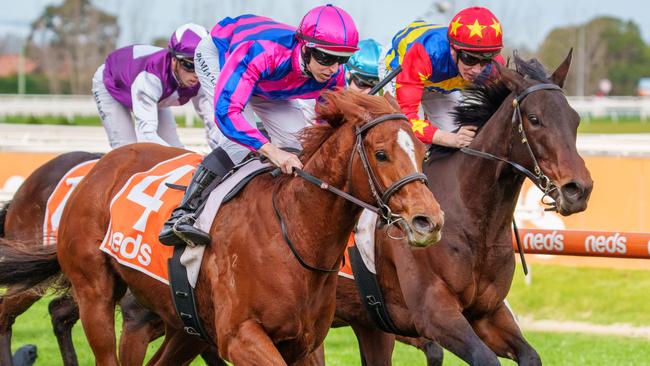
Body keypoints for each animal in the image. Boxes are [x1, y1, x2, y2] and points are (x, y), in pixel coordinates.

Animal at [0, 90, 442, 364]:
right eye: (381, 153)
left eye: (422, 150)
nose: (429, 221)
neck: (293, 235)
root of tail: (100, 166)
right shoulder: (241, 337)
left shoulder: (303, 343)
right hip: (95, 292)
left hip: (186, 322)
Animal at [332, 51, 588, 366]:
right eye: (535, 119)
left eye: (575, 119)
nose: (578, 189)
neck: (474, 221)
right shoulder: (433, 314)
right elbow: (482, 358)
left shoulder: (486, 312)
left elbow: (530, 355)